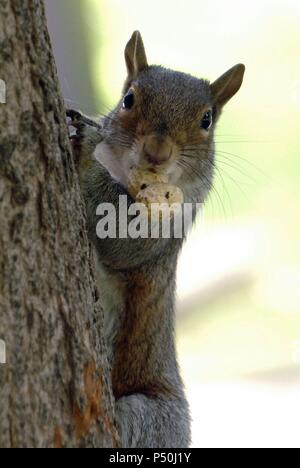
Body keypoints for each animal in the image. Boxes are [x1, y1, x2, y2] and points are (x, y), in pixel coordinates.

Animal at [67, 31, 245, 448]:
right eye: (129, 99)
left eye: (207, 119)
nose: (157, 150)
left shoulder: (162, 231)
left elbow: (123, 242)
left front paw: (90, 140)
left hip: (148, 417)